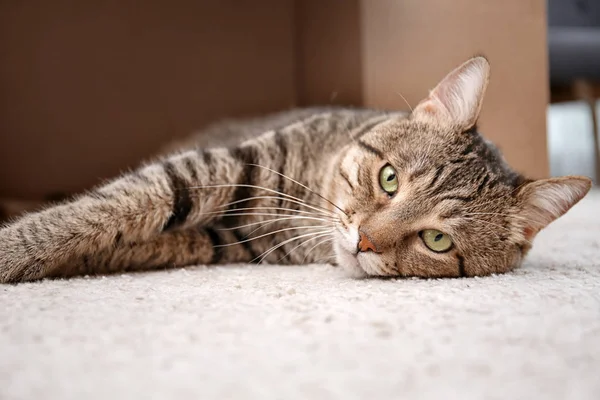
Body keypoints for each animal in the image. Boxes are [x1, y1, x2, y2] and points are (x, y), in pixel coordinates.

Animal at [0, 56, 592, 282]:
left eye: (437, 241)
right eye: (389, 178)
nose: (364, 242)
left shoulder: (219, 240)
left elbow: (119, 238)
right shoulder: (218, 165)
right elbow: (99, 210)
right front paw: (14, 250)